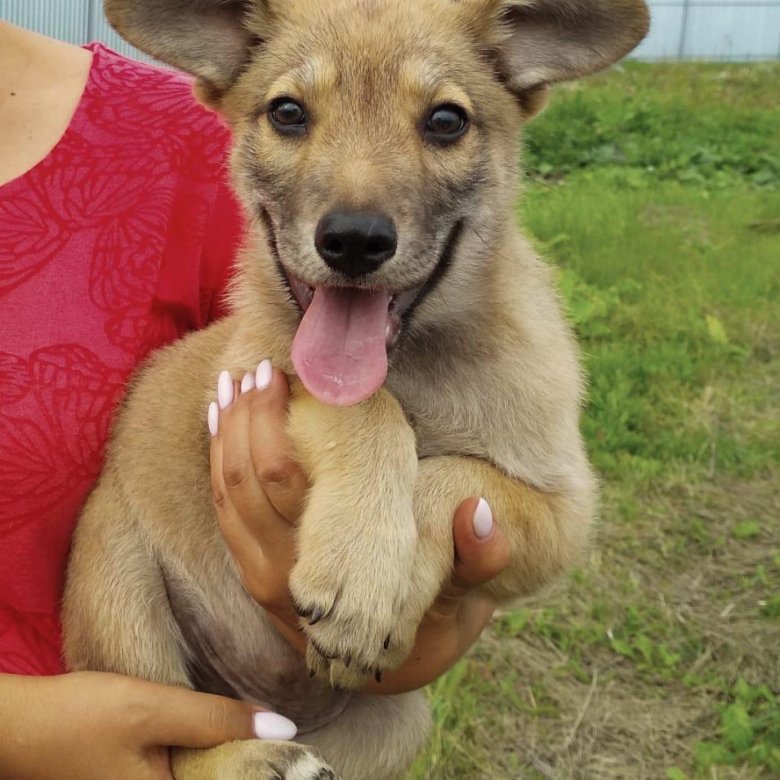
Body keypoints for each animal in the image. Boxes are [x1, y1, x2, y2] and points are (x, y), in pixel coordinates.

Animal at [61, 3, 648, 776]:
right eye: (287, 112)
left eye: (446, 121)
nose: (355, 241)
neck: (415, 364)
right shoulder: (259, 374)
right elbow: (365, 409)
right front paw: (358, 569)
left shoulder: (560, 511)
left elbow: (453, 478)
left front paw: (378, 591)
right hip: (118, 585)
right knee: (173, 740)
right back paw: (253, 757)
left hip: (397, 720)